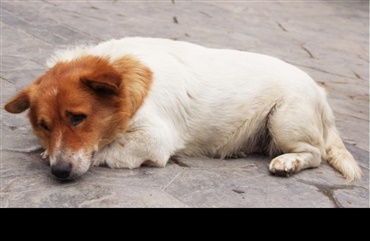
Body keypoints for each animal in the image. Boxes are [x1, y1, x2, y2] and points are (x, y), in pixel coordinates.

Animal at [3, 37, 362, 181]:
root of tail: (321, 94)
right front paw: (47, 151)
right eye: (44, 126)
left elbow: (106, 150)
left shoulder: (153, 140)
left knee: (314, 154)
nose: (59, 173)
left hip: (284, 119)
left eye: (78, 118)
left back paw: (288, 162)